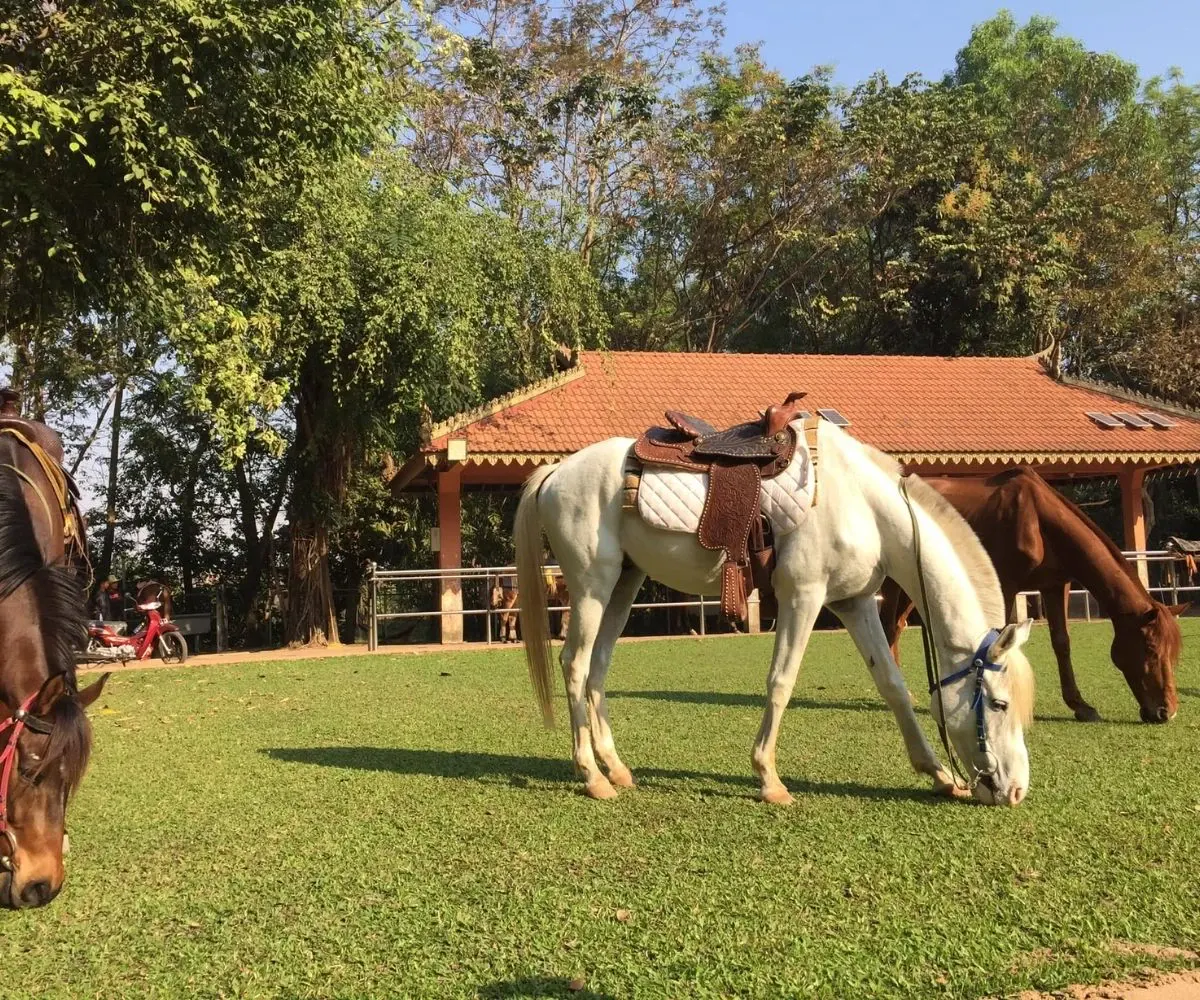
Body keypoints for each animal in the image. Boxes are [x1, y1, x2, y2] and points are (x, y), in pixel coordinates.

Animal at [514, 422, 1036, 806]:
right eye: (999, 704)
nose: (1015, 791)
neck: (863, 505)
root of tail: (558, 471)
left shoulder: (854, 604)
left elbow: (893, 686)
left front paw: (939, 774)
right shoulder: (803, 596)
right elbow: (782, 681)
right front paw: (769, 779)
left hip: (624, 584)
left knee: (598, 668)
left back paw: (616, 769)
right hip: (591, 587)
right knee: (575, 665)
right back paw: (591, 777)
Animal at [879, 468, 1187, 724]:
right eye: (1151, 649)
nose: (1166, 712)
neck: (1039, 520)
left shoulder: (1055, 586)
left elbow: (1061, 642)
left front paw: (1080, 705)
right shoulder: (1005, 584)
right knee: (889, 627)